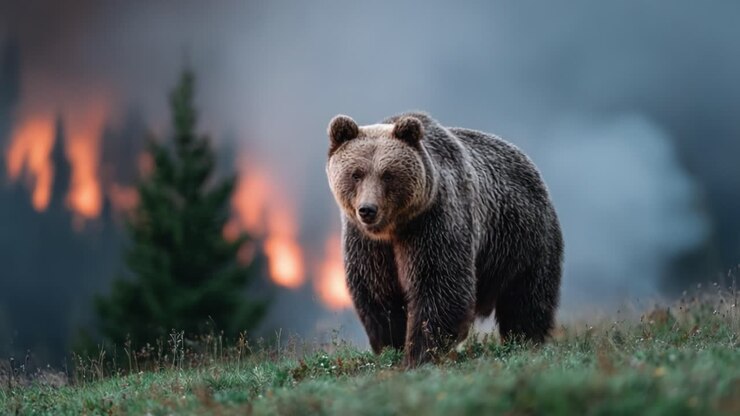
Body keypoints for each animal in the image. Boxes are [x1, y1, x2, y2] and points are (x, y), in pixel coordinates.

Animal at [325, 112, 563, 368]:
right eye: (356, 174)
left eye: (387, 174)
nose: (368, 210)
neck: (394, 228)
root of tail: (527, 160)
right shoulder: (368, 244)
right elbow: (378, 292)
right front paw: (392, 345)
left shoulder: (433, 221)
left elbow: (440, 285)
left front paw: (418, 355)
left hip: (522, 239)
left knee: (526, 298)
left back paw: (524, 341)